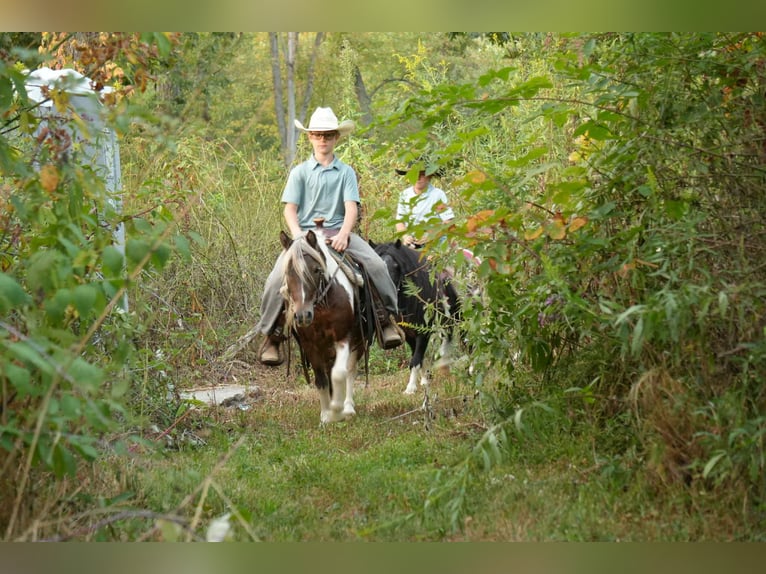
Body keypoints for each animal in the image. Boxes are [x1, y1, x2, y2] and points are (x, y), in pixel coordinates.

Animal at [279, 229, 372, 423]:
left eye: (316, 270)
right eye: (289, 272)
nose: (303, 315)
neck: (321, 307)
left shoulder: (343, 338)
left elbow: (339, 373)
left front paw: (336, 409)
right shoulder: (310, 345)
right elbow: (321, 379)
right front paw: (326, 415)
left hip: (358, 342)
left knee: (350, 370)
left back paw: (348, 407)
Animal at [372, 239, 461, 394]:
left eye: (396, 266)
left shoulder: (423, 332)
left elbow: (416, 359)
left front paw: (410, 388)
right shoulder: (409, 334)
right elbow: (418, 357)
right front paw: (425, 380)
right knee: (447, 335)